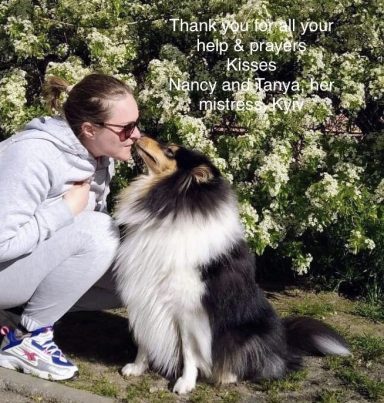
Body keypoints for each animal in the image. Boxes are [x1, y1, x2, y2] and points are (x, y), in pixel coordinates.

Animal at [112, 138, 350, 394]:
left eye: (171, 151)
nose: (138, 137)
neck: (171, 207)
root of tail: (284, 342)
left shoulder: (189, 309)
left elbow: (189, 351)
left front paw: (185, 383)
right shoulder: (144, 294)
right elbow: (144, 339)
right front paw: (137, 368)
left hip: (249, 334)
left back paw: (227, 376)